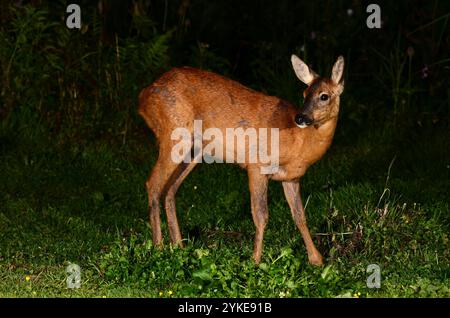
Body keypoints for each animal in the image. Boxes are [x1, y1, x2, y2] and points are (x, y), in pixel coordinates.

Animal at [139, 55, 346, 266]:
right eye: (304, 94)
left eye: (324, 96)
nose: (301, 117)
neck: (298, 142)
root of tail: (144, 96)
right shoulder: (257, 166)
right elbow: (261, 216)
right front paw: (255, 260)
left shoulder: (291, 178)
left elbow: (300, 216)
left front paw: (317, 259)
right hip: (173, 134)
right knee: (153, 184)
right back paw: (158, 247)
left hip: (194, 150)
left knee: (169, 189)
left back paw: (178, 246)